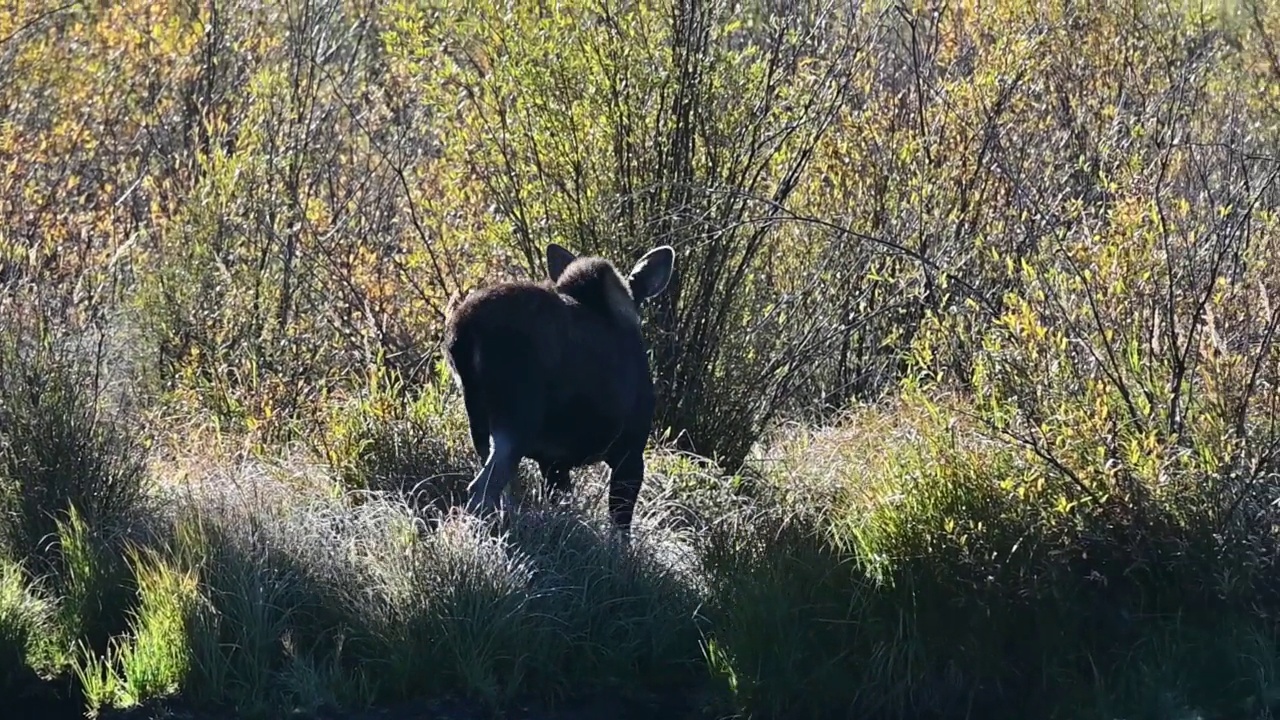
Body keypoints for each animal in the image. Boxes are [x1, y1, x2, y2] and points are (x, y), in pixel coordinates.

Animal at [442, 240, 675, 538]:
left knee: (499, 488)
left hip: (478, 420)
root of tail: (464, 332)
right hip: (518, 418)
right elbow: (621, 525)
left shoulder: (553, 461)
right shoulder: (630, 452)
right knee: (483, 487)